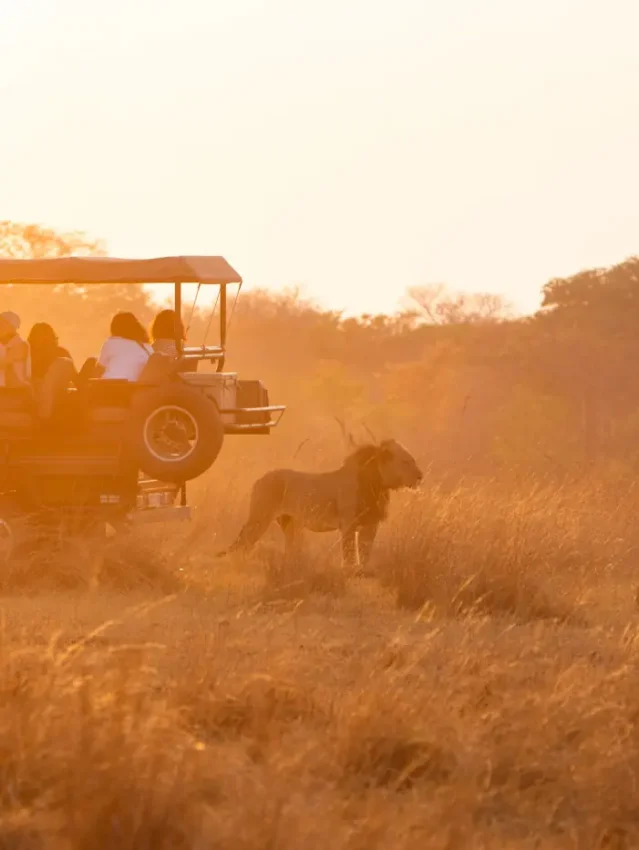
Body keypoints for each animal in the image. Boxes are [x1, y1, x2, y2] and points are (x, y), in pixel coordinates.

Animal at [218, 439, 423, 567]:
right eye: (406, 462)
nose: (420, 476)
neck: (378, 485)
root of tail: (259, 479)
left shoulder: (371, 524)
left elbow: (365, 552)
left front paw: (362, 571)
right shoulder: (348, 523)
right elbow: (349, 552)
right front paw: (349, 571)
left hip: (289, 523)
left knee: (289, 550)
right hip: (260, 517)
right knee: (244, 542)